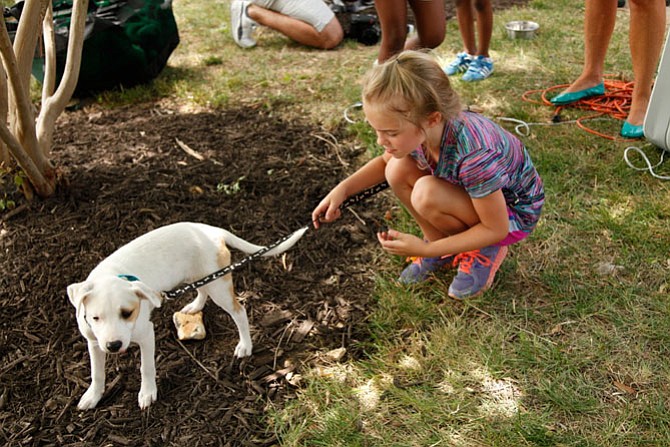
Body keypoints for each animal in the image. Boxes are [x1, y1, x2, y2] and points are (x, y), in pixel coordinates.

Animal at [67, 222, 306, 412]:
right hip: (198, 276)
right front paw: (93, 396)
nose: (114, 345)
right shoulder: (93, 342)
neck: (111, 276)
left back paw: (245, 345)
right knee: (201, 290)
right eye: (95, 318)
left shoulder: (146, 335)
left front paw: (147, 393)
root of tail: (211, 230)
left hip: (219, 286)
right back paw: (194, 307)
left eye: (127, 313)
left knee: (239, 312)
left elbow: (146, 367)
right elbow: (97, 373)